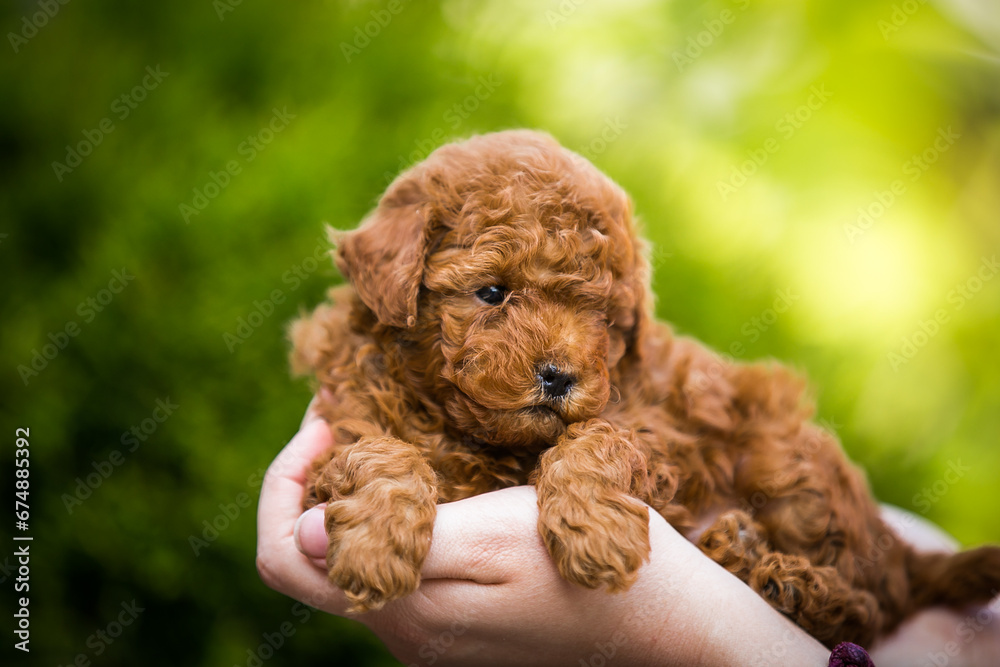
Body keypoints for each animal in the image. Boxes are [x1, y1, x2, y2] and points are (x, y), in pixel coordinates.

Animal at [290, 129, 1000, 648]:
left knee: (870, 605)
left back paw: (786, 581)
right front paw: (378, 543)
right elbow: (378, 453)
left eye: (602, 318)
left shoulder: (664, 440)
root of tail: (900, 550)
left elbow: (596, 443)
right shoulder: (343, 430)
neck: (464, 427)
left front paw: (596, 532)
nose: (559, 376)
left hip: (785, 462)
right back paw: (747, 554)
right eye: (492, 291)